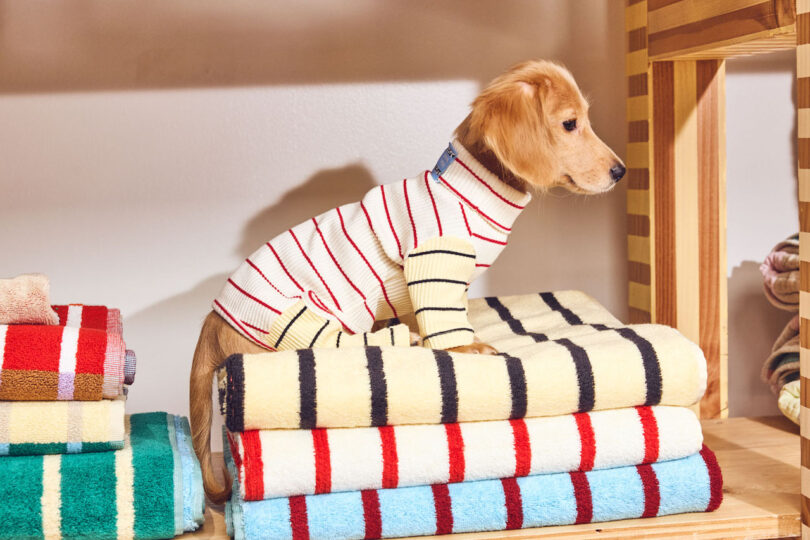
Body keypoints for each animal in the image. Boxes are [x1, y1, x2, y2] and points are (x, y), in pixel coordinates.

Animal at [189, 61, 624, 504]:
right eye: (569, 124)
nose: (620, 172)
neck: (471, 189)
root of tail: (213, 321)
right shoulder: (435, 263)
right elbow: (445, 325)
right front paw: (467, 346)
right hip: (301, 321)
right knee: (344, 344)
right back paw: (399, 338)